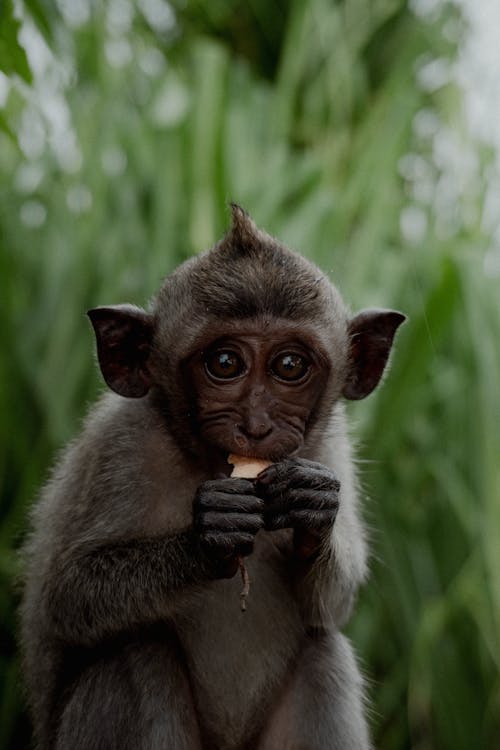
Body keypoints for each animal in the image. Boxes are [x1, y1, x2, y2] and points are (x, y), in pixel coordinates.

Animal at [19, 206, 406, 750]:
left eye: (290, 365)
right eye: (224, 363)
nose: (256, 425)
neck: (207, 462)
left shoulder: (332, 450)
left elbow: (332, 607)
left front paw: (312, 508)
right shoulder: (119, 446)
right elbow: (64, 598)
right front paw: (207, 539)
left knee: (322, 653)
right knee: (135, 651)